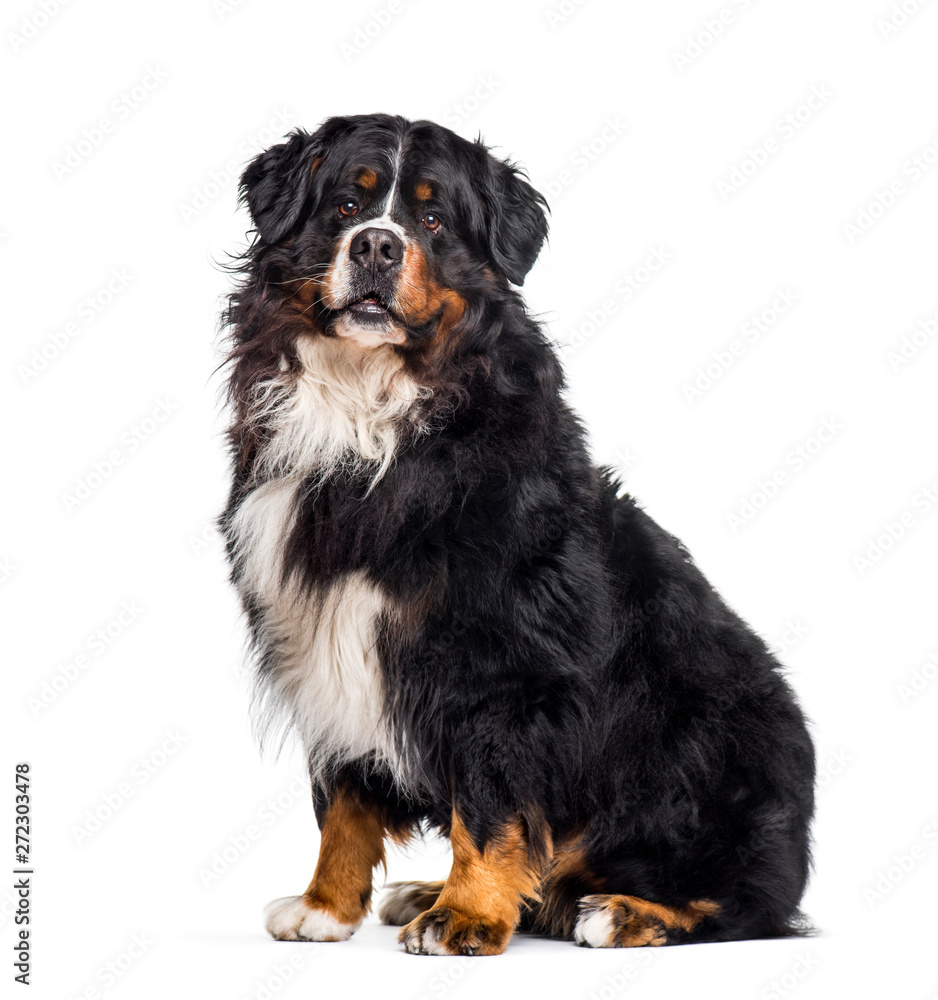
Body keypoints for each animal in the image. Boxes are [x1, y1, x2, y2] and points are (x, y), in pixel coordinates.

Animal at [221, 113, 812, 956]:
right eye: (345, 205)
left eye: (433, 220)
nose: (377, 247)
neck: (372, 417)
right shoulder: (322, 634)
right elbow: (342, 798)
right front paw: (326, 906)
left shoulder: (503, 662)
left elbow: (493, 803)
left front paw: (467, 915)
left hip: (712, 752)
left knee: (744, 905)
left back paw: (620, 910)